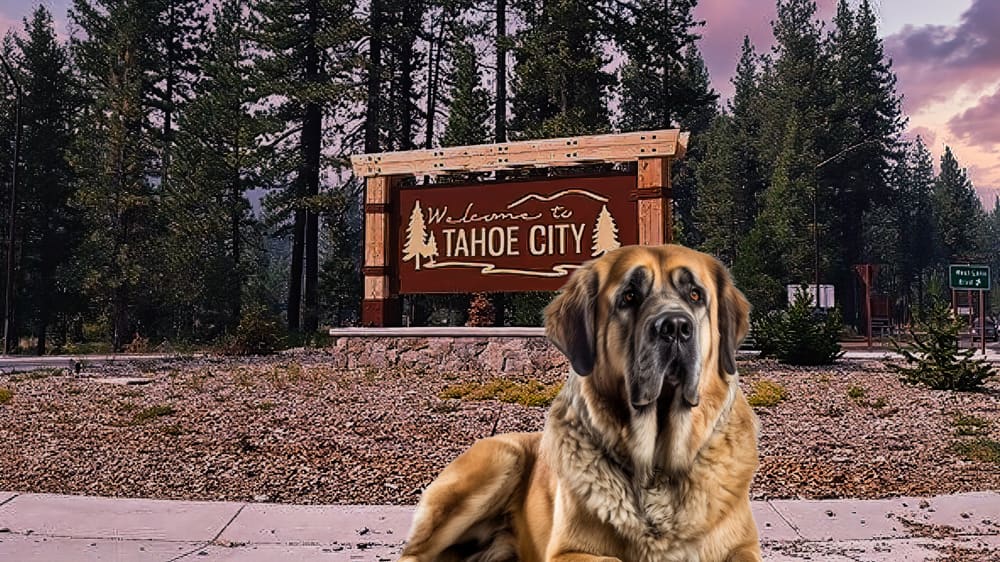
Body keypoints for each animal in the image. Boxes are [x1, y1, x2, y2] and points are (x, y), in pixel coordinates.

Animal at [396, 245, 756, 560]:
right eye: (629, 296)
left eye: (695, 295)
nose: (676, 327)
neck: (656, 465)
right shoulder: (569, 551)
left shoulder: (743, 547)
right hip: (501, 457)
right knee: (414, 553)